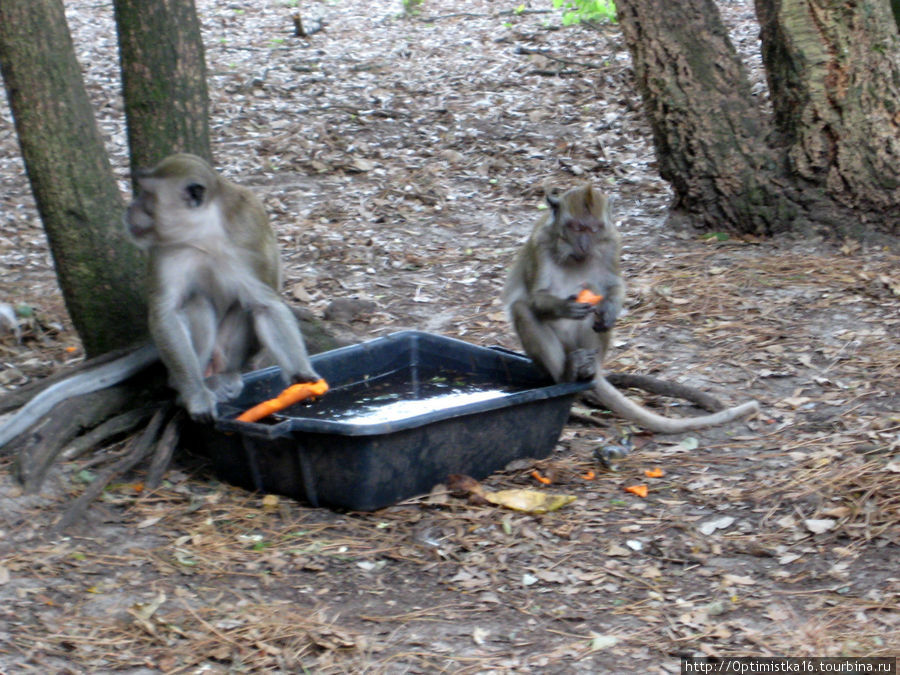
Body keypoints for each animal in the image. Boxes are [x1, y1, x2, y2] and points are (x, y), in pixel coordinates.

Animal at [125, 154, 322, 422]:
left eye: (147, 195)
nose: (130, 208)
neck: (203, 234)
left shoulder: (247, 238)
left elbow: (265, 305)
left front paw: (301, 376)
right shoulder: (166, 250)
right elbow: (167, 312)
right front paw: (197, 397)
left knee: (244, 307)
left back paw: (228, 375)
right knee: (196, 303)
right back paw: (197, 387)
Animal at [502, 185, 756, 434]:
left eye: (594, 229)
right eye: (576, 227)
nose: (584, 244)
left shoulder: (612, 241)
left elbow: (613, 286)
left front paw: (609, 310)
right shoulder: (540, 244)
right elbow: (535, 297)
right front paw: (566, 306)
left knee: (597, 310)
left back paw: (588, 371)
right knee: (522, 309)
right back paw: (568, 375)